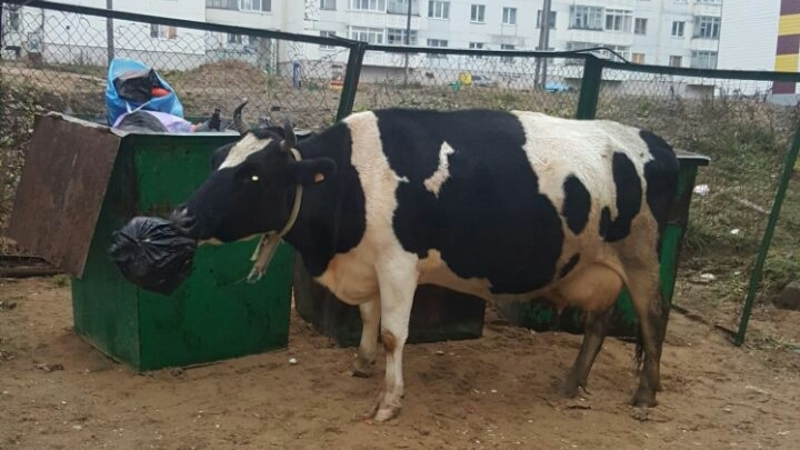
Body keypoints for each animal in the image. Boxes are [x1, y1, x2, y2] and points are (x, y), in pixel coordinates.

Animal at [169, 105, 680, 422]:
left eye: (253, 175)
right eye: (217, 158)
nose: (182, 216)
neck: (353, 178)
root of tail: (653, 141)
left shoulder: (399, 263)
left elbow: (395, 333)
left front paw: (388, 400)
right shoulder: (369, 262)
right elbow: (368, 316)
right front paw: (363, 362)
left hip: (641, 258)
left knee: (653, 318)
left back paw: (645, 394)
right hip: (595, 267)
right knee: (598, 324)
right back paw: (572, 383)